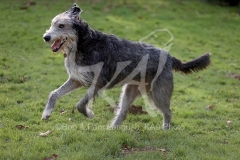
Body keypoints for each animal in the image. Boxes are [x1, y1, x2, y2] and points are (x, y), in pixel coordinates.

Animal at [41, 3, 210, 129]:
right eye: (52, 24)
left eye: (61, 25)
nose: (45, 37)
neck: (84, 43)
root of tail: (169, 57)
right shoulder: (77, 79)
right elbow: (54, 94)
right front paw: (46, 113)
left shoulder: (99, 82)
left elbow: (80, 104)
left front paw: (89, 114)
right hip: (130, 91)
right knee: (122, 113)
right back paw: (112, 129)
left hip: (158, 94)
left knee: (168, 112)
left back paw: (165, 129)